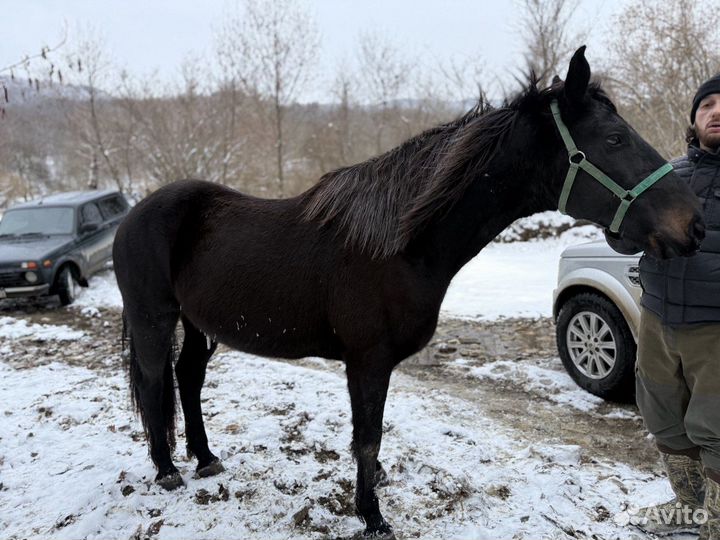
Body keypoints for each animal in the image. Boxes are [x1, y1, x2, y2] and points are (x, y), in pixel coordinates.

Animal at [112, 47, 705, 539]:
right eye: (615, 140)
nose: (693, 225)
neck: (397, 245)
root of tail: (135, 213)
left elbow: (373, 437)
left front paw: (374, 489)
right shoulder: (367, 361)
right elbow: (367, 436)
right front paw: (373, 519)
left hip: (198, 324)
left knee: (187, 377)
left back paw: (205, 458)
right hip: (154, 318)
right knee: (155, 381)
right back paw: (167, 469)